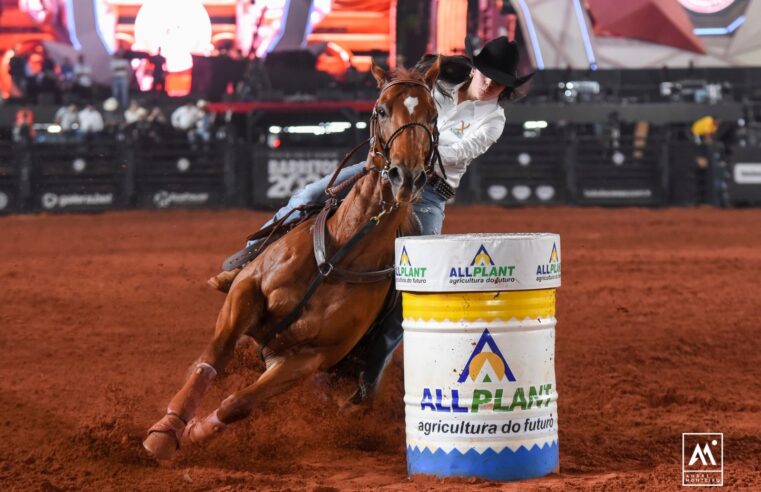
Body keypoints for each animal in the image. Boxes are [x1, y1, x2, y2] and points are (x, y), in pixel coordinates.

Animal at [142, 60, 440, 462]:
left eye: (433, 115)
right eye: (381, 109)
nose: (404, 176)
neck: (340, 254)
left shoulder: (308, 358)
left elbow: (239, 403)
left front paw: (195, 431)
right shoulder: (246, 290)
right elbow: (212, 358)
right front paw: (166, 429)